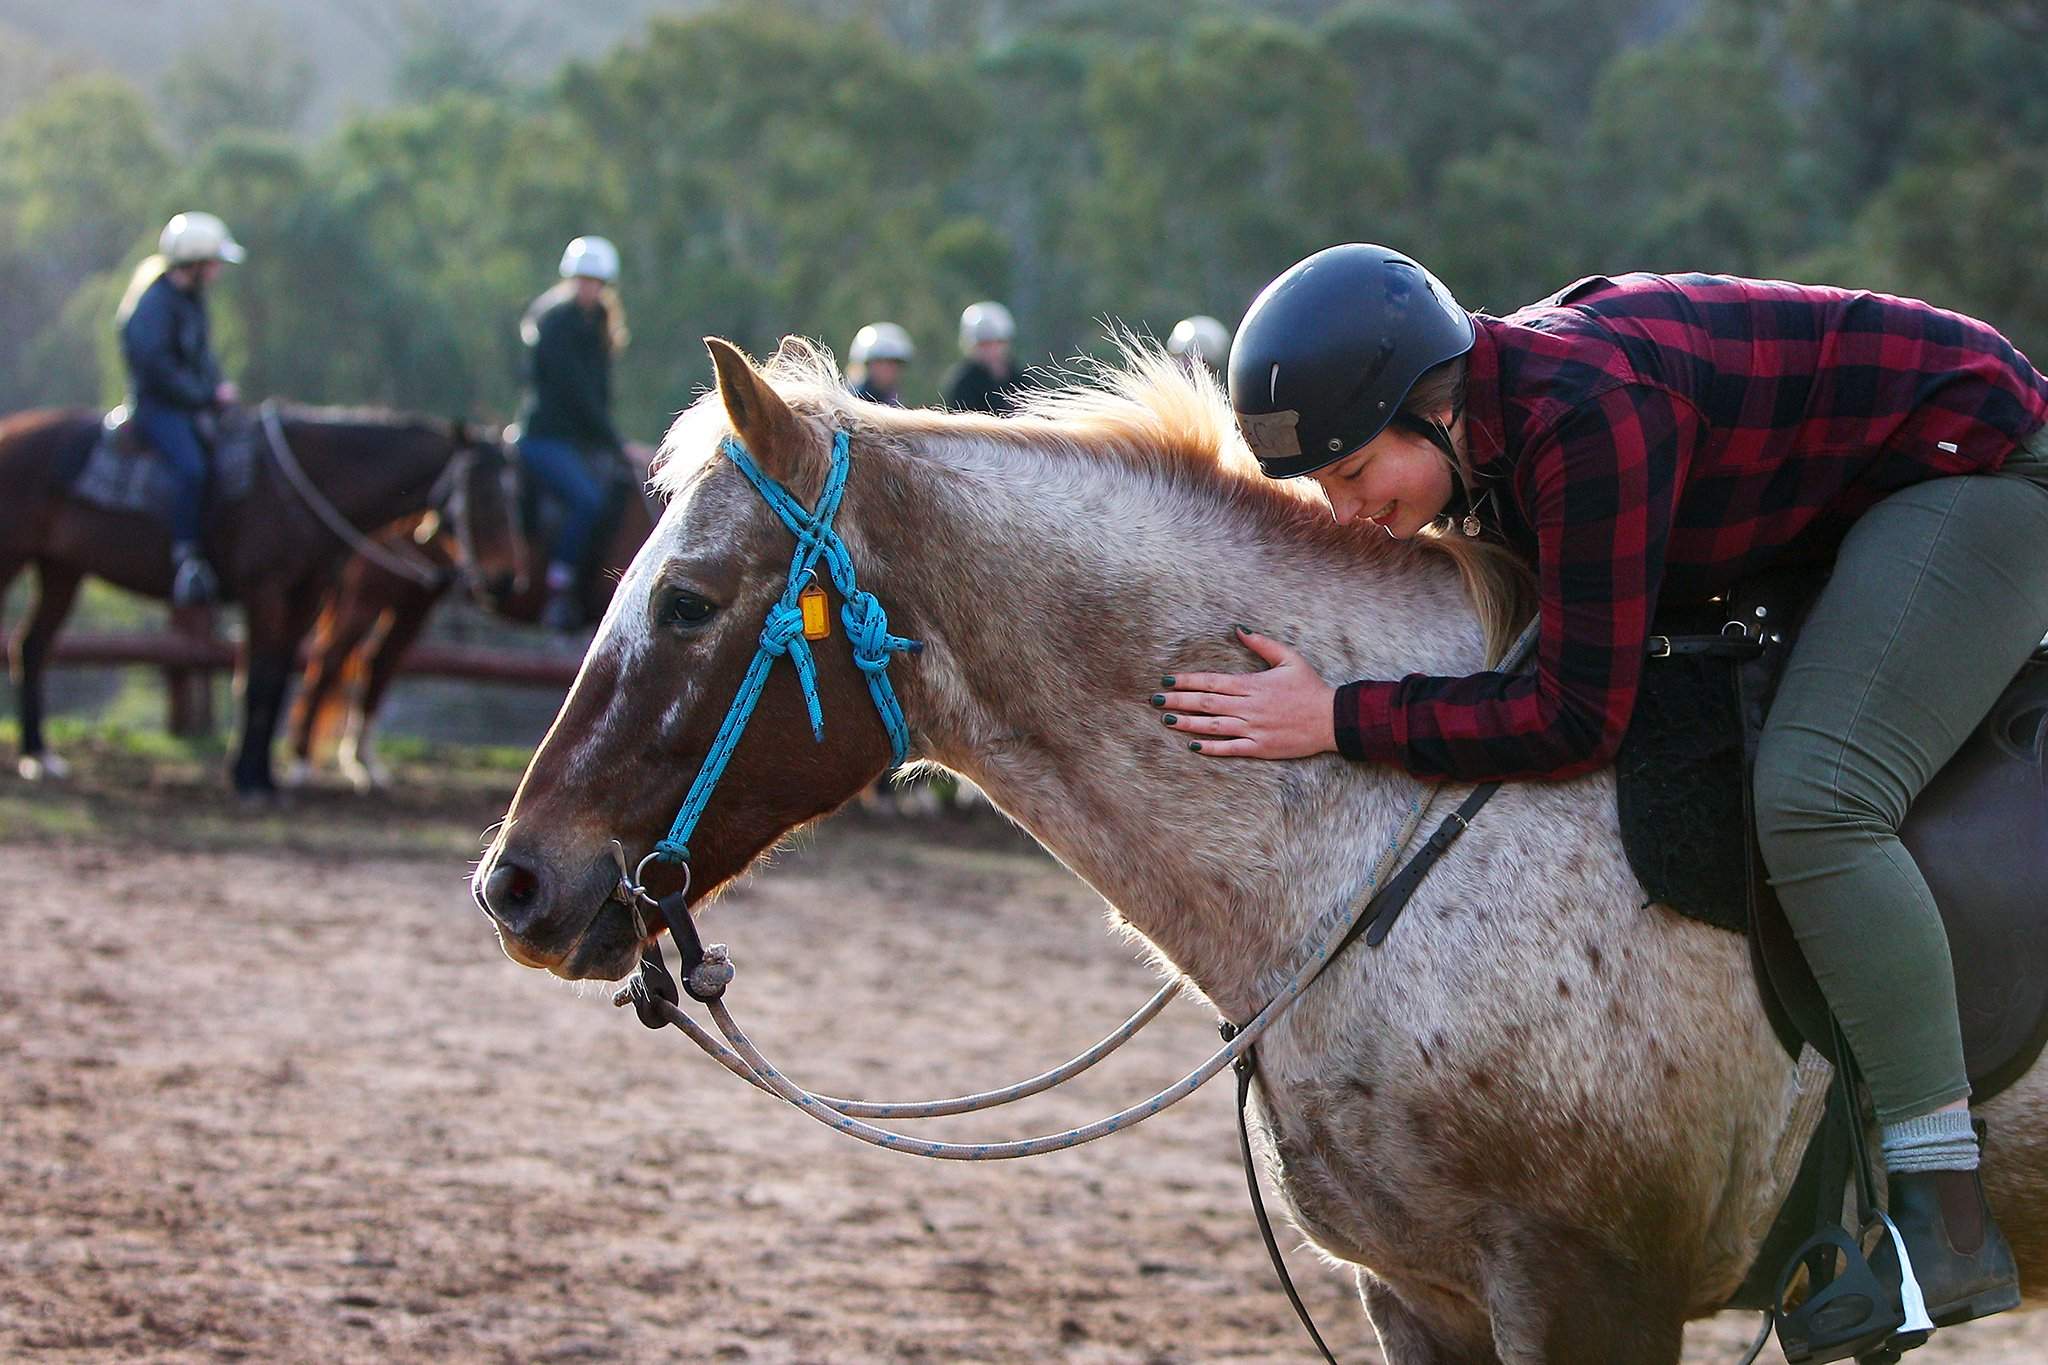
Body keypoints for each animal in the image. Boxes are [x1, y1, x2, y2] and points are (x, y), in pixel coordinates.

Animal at [2, 411, 512, 802]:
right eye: (478, 496)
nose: (504, 580)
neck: (295, 489)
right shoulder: (266, 592)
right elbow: (259, 680)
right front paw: (251, 779)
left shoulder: (305, 596)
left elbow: (277, 677)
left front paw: (260, 773)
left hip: (60, 569)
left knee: (32, 647)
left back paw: (40, 755)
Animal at [288, 448, 651, 789]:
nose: (504, 581)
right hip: (368, 594)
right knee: (330, 660)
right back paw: (303, 762)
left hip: (412, 598)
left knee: (379, 661)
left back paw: (364, 763)